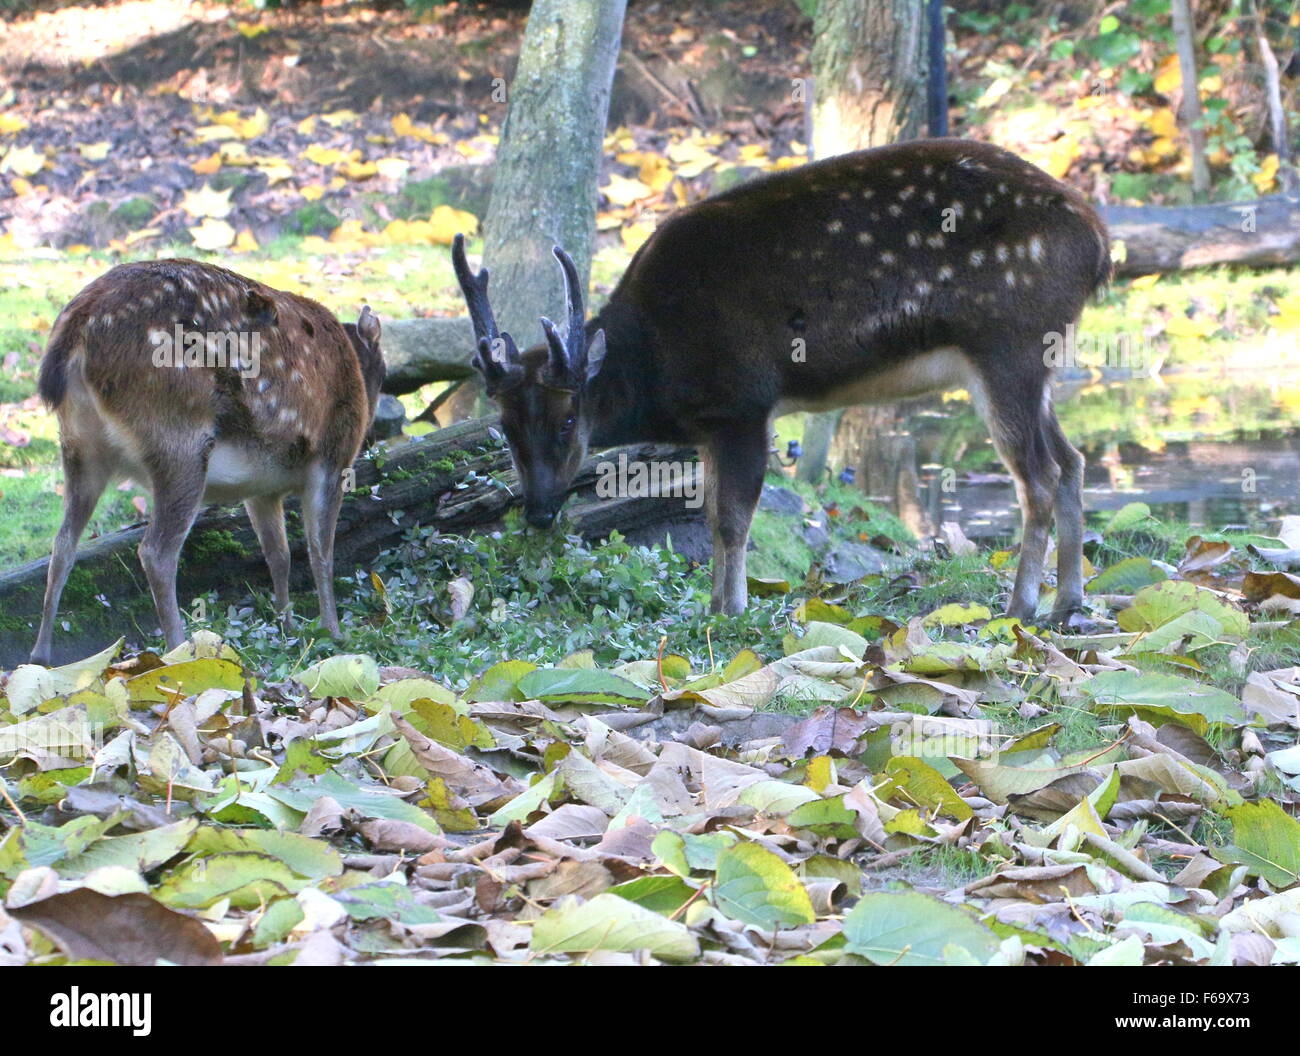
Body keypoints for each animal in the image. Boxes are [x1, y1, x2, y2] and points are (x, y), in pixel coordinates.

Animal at [29, 258, 384, 663]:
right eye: (384, 370)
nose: (372, 425)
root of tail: (74, 332)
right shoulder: (333, 457)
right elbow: (320, 551)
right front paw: (333, 632)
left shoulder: (262, 488)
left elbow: (278, 554)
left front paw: (288, 626)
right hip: (177, 437)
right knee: (156, 551)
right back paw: (179, 648)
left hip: (78, 444)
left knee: (62, 543)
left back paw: (41, 655)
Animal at [454, 138, 1107, 619]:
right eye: (505, 426)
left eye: (568, 418)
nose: (538, 512)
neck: (659, 369)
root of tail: (1100, 244)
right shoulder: (712, 424)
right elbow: (711, 512)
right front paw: (714, 606)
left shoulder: (743, 402)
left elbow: (732, 516)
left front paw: (733, 609)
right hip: (1038, 360)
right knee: (1073, 460)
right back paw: (1068, 602)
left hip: (1007, 341)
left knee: (1040, 475)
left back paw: (1020, 608)